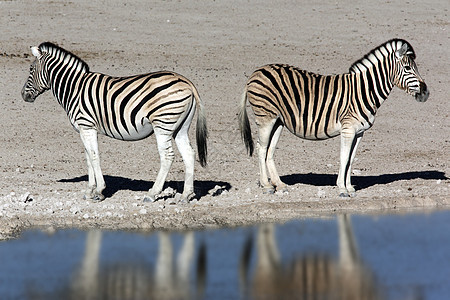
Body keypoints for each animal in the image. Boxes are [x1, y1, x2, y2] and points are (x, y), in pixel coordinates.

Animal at [22, 41, 208, 202]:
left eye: (31, 68)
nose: (23, 95)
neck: (74, 88)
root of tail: (186, 82)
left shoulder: (87, 125)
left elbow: (94, 156)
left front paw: (99, 191)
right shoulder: (85, 129)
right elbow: (88, 157)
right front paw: (89, 190)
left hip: (163, 125)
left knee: (167, 156)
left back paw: (152, 194)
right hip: (180, 127)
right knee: (189, 154)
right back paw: (186, 195)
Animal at [239, 38, 428, 197]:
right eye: (408, 68)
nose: (426, 93)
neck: (364, 91)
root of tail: (255, 72)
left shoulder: (359, 132)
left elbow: (351, 159)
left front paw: (350, 188)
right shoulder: (348, 129)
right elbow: (344, 157)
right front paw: (342, 189)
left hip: (278, 121)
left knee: (269, 150)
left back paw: (279, 184)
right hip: (266, 118)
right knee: (261, 148)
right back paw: (266, 186)